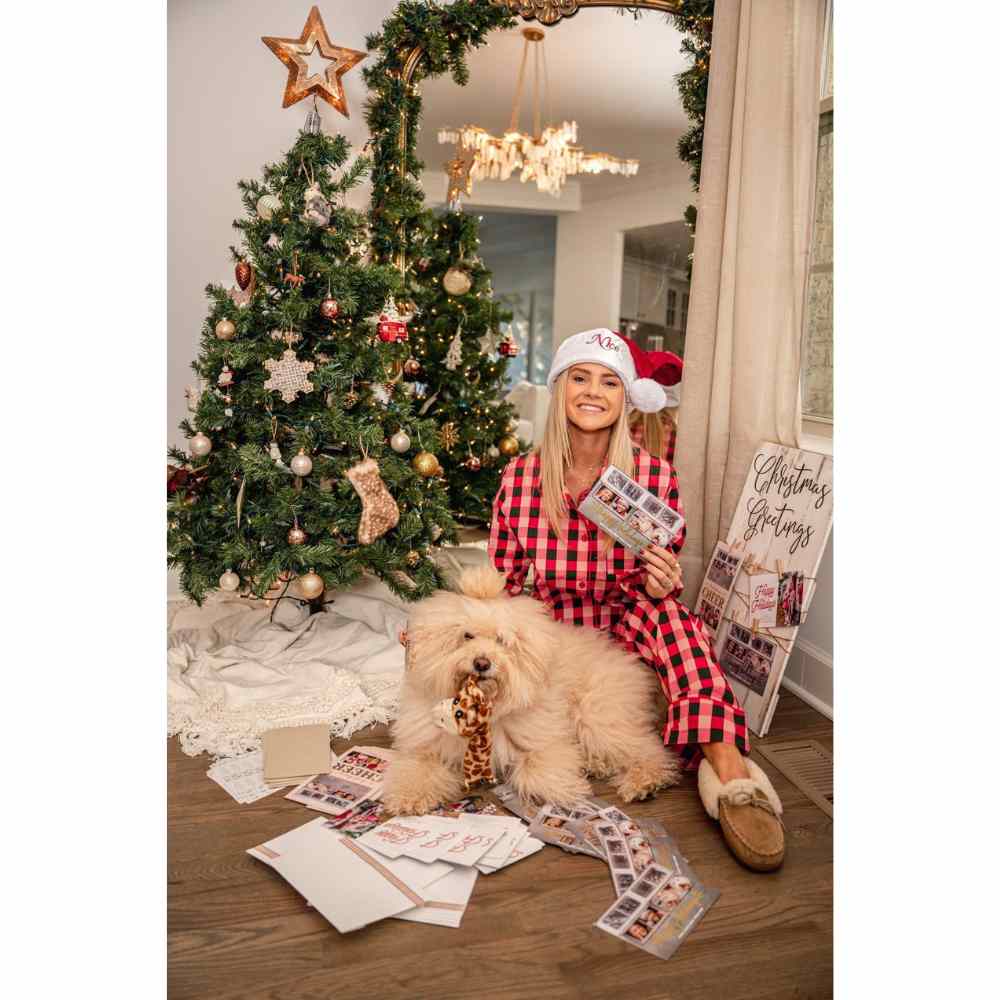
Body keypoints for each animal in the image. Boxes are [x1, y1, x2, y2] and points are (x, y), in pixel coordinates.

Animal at [382, 568, 680, 816]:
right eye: (467, 636)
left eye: (501, 640)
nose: (482, 663)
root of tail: (626, 659)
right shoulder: (426, 747)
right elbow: (417, 769)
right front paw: (408, 796)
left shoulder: (545, 740)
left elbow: (534, 770)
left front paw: (565, 788)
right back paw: (598, 764)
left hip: (597, 716)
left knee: (648, 749)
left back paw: (644, 781)